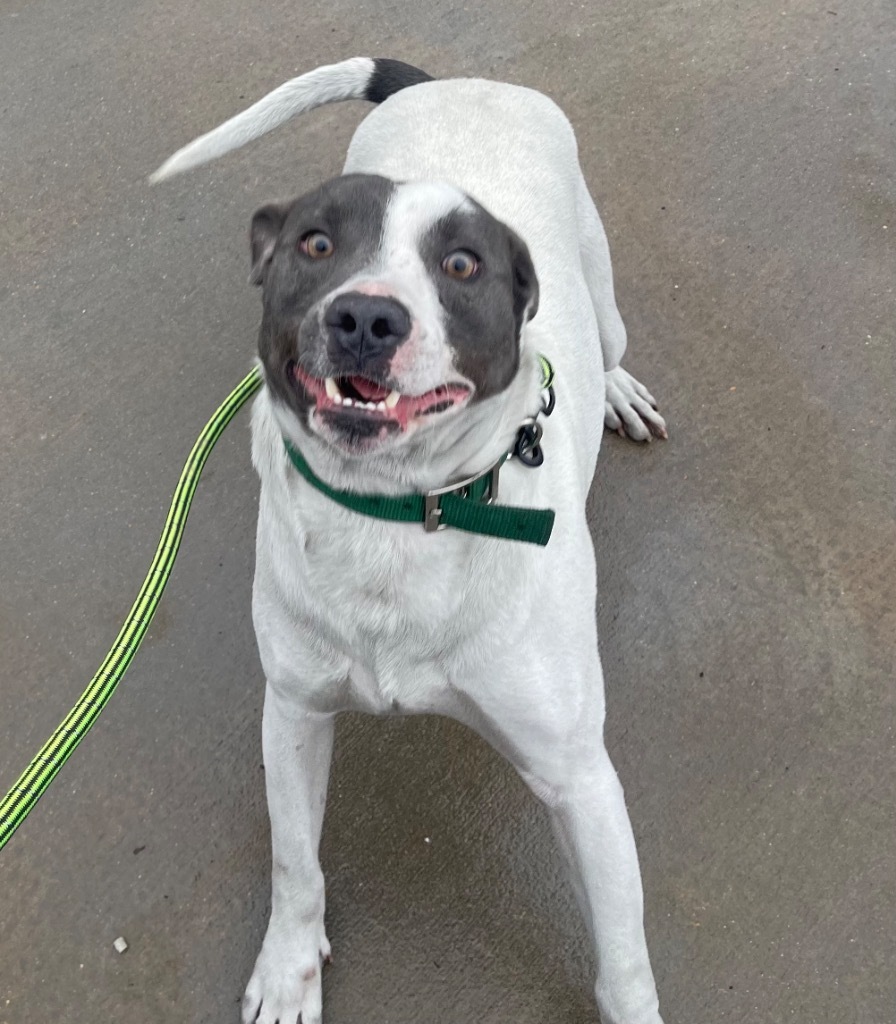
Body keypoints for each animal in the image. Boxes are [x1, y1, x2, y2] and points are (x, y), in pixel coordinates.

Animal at [152, 58, 667, 1024]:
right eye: (316, 244)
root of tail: (456, 78)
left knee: (613, 339)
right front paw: (289, 969)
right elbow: (295, 863)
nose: (364, 318)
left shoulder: (581, 778)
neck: (395, 516)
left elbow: (622, 961)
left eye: (462, 265)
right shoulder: (294, 713)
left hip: (602, 288)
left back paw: (619, 388)